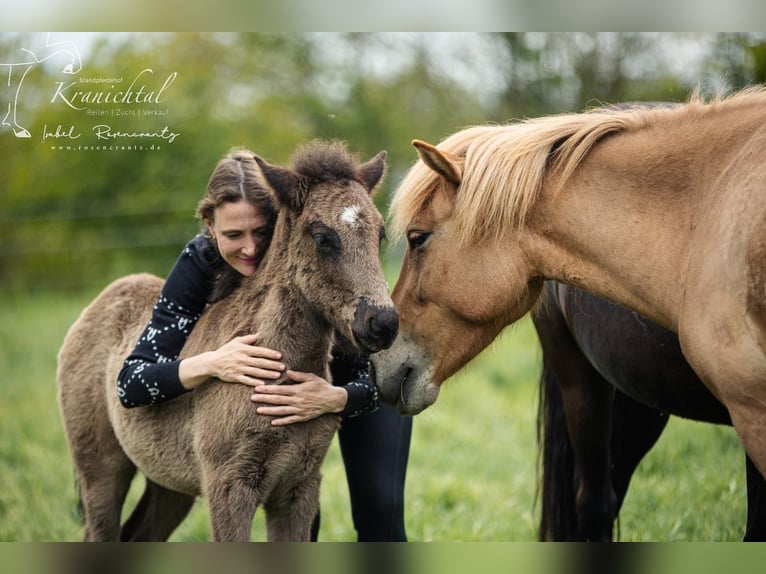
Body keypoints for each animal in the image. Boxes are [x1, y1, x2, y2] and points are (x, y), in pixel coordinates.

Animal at [56, 141, 398, 542]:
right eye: (322, 236)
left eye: (380, 235)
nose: (383, 323)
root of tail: (102, 300)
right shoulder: (229, 486)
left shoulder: (299, 488)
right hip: (100, 470)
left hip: (169, 484)